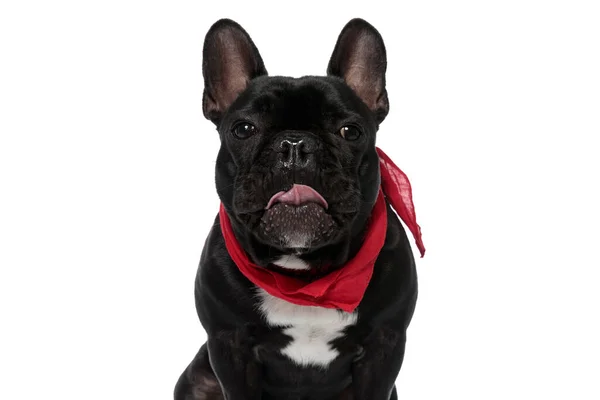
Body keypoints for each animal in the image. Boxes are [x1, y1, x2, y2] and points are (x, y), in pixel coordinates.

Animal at [173, 17, 424, 398]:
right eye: (243, 129)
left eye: (350, 131)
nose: (294, 144)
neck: (303, 273)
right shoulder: (229, 346)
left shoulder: (384, 347)